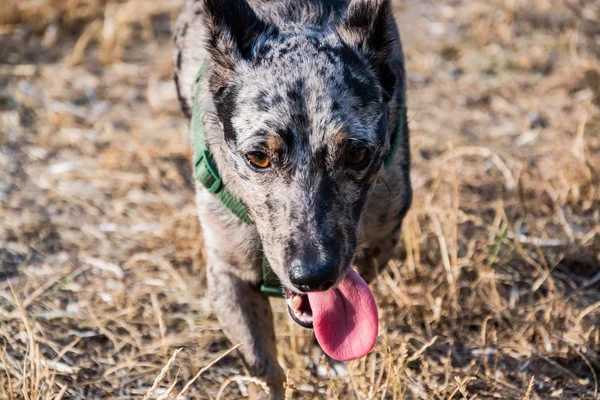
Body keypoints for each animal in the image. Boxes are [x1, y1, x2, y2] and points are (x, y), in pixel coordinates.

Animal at [171, 0, 410, 396]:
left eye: (357, 154)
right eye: (258, 157)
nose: (313, 276)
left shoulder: (382, 236)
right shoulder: (227, 272)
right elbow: (262, 367)